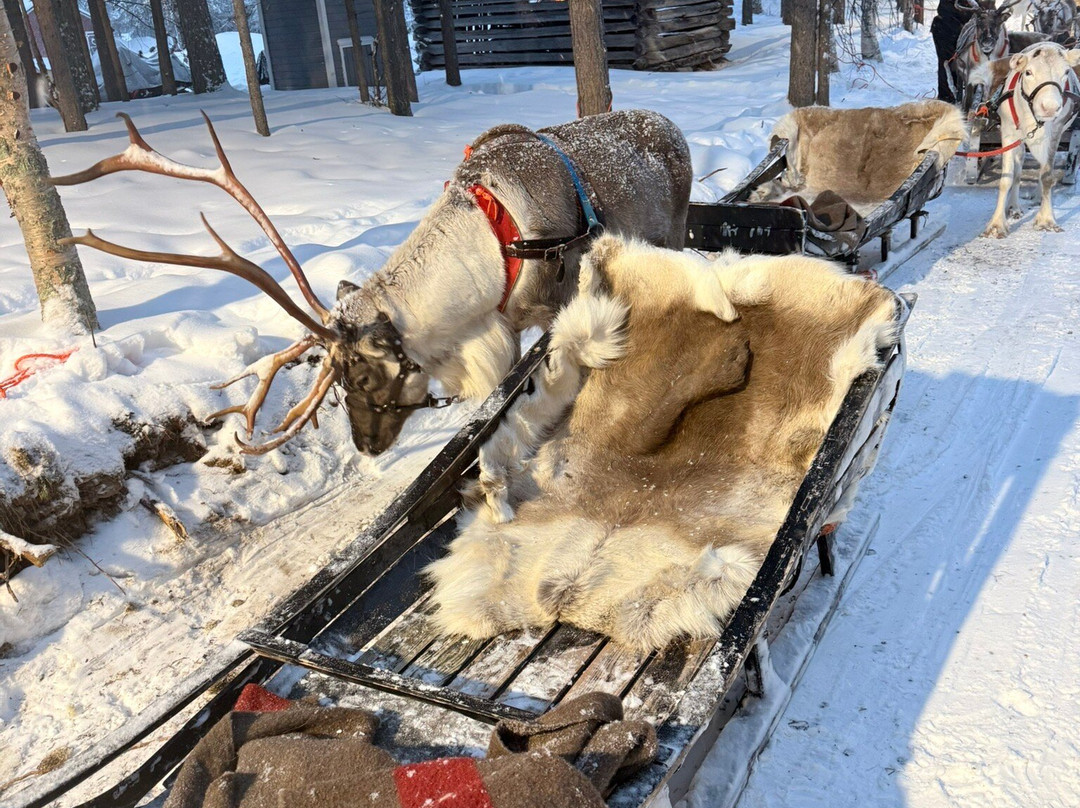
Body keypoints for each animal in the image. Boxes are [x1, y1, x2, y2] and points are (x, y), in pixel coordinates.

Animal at [53, 109, 693, 455]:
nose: (364, 446)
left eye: (360, 375)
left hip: (677, 228)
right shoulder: (506, 326)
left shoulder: (557, 305)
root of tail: (670, 125)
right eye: (333, 385)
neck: (494, 252)